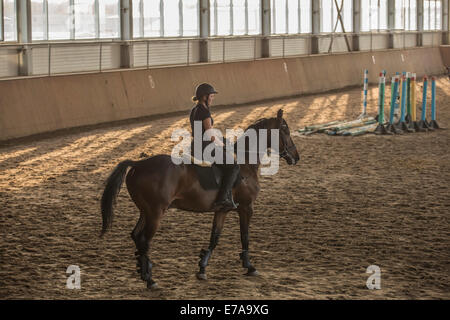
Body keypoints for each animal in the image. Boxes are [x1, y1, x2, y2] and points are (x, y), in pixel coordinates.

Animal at [100, 109, 300, 288]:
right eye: (285, 131)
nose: (296, 157)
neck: (245, 163)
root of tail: (138, 164)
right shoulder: (246, 207)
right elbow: (245, 237)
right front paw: (250, 267)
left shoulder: (223, 210)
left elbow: (214, 238)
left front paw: (202, 268)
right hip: (156, 212)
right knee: (144, 240)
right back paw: (150, 280)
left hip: (145, 211)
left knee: (136, 235)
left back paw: (144, 271)